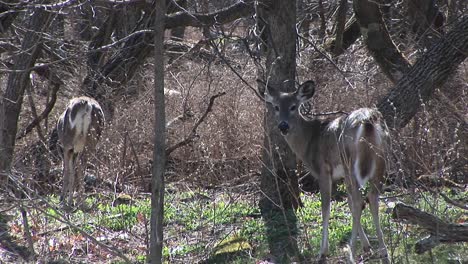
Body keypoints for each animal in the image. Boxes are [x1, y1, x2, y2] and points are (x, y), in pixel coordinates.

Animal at [260, 79, 392, 262]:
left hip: (349, 160)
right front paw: (367, 246)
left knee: (360, 200)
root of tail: (367, 120)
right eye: (276, 107)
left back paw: (351, 253)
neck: (310, 141)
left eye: (293, 106)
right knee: (371, 197)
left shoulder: (323, 170)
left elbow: (326, 209)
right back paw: (384, 252)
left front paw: (323, 251)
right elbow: (349, 203)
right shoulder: (341, 174)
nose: (283, 126)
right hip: (381, 157)